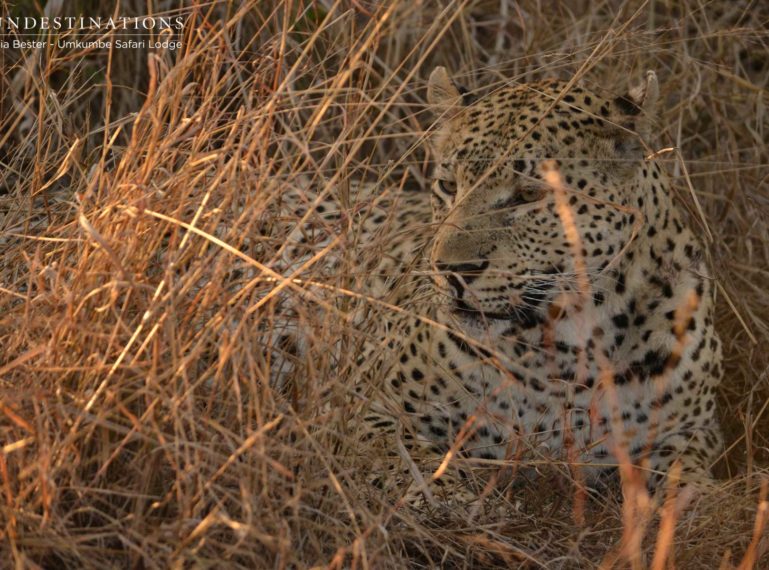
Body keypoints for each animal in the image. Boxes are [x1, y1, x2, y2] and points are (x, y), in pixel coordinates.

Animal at [274, 67, 720, 506]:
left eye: (527, 195)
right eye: (449, 185)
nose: (451, 270)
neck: (565, 349)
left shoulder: (689, 436)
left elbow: (696, 490)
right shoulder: (361, 407)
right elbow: (411, 462)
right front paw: (457, 498)